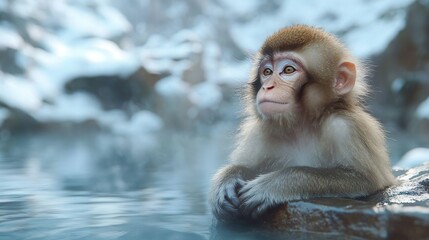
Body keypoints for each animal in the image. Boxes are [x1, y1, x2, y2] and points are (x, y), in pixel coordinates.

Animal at [209, 25, 396, 220]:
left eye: (288, 70)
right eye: (267, 72)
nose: (267, 87)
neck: (301, 126)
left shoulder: (347, 127)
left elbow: (364, 180)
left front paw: (277, 183)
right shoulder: (257, 134)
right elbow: (248, 167)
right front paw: (228, 179)